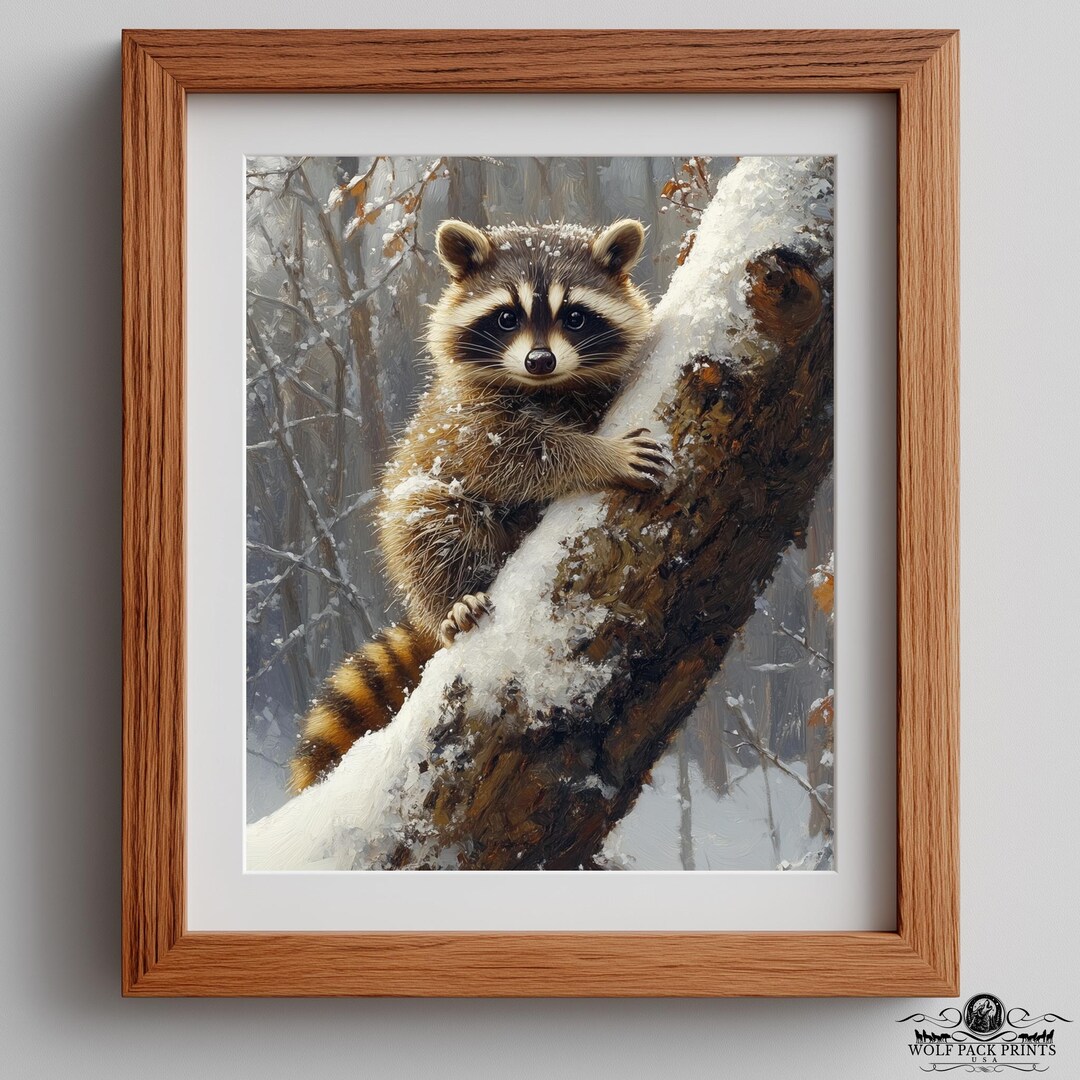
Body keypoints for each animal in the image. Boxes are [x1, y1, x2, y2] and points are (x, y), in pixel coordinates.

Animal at [289, 217, 665, 792]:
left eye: (575, 316)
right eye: (507, 317)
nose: (540, 360)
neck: (548, 387)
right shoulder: (468, 421)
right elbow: (521, 457)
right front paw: (598, 456)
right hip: (427, 515)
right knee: (426, 519)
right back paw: (452, 599)